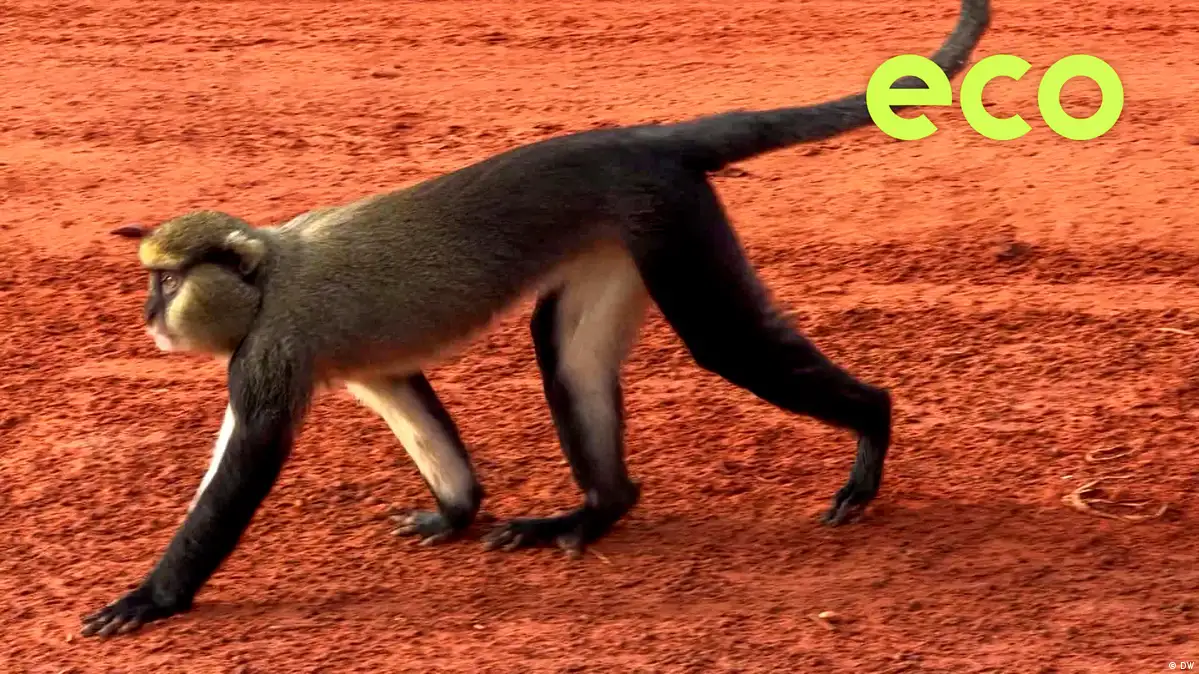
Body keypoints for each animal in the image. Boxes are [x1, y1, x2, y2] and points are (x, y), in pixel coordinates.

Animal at [81, 0, 990, 637]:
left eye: (166, 281)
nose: (148, 313)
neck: (267, 273)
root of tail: (644, 140)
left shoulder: (269, 353)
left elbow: (246, 464)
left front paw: (153, 596)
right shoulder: (365, 364)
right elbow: (408, 396)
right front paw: (455, 511)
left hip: (671, 222)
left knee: (723, 343)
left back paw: (870, 424)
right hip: (617, 246)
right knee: (570, 359)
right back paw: (596, 508)